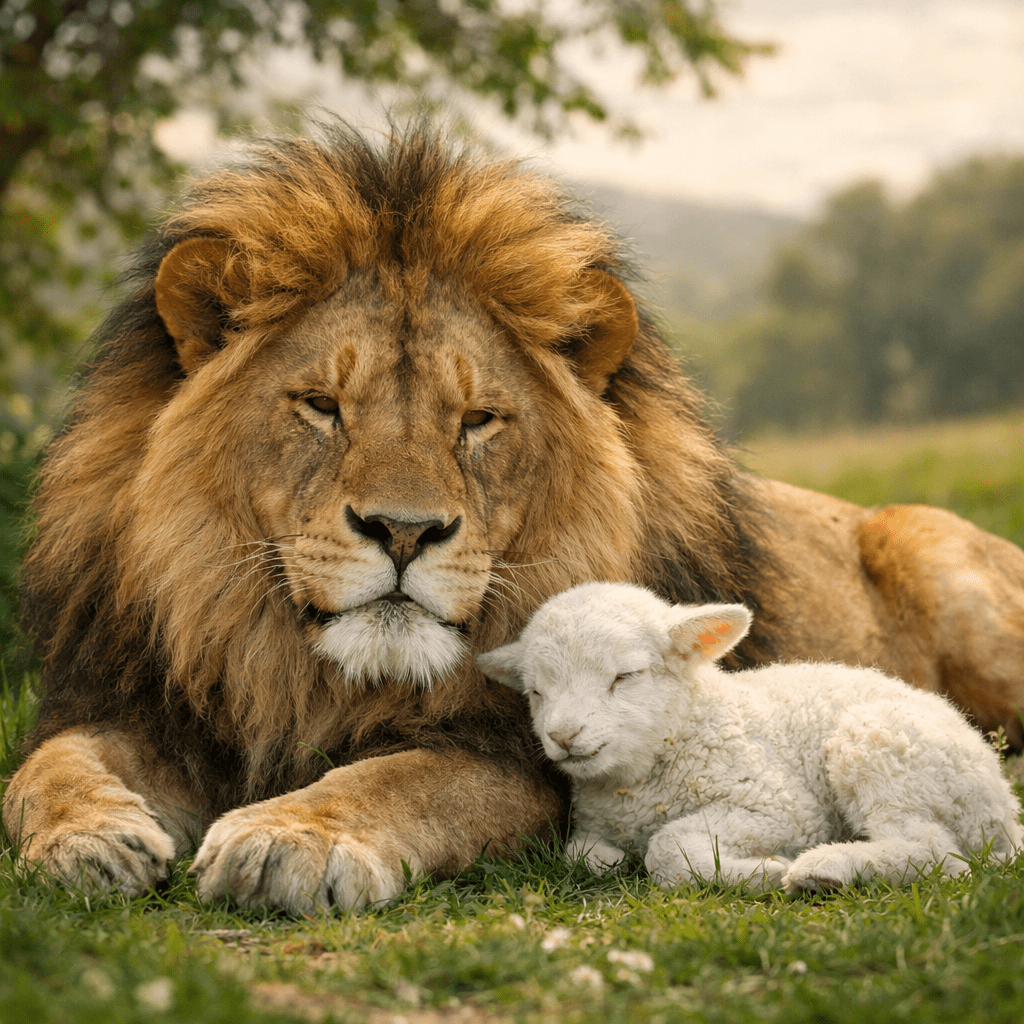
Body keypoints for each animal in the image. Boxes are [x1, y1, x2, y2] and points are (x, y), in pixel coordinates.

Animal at [478, 582, 1023, 893]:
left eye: (624, 676)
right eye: (535, 691)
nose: (563, 735)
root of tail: (1003, 808)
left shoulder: (779, 806)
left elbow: (667, 847)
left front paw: (762, 871)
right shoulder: (596, 821)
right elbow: (582, 854)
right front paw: (609, 860)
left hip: (884, 752)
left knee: (937, 853)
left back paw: (824, 869)